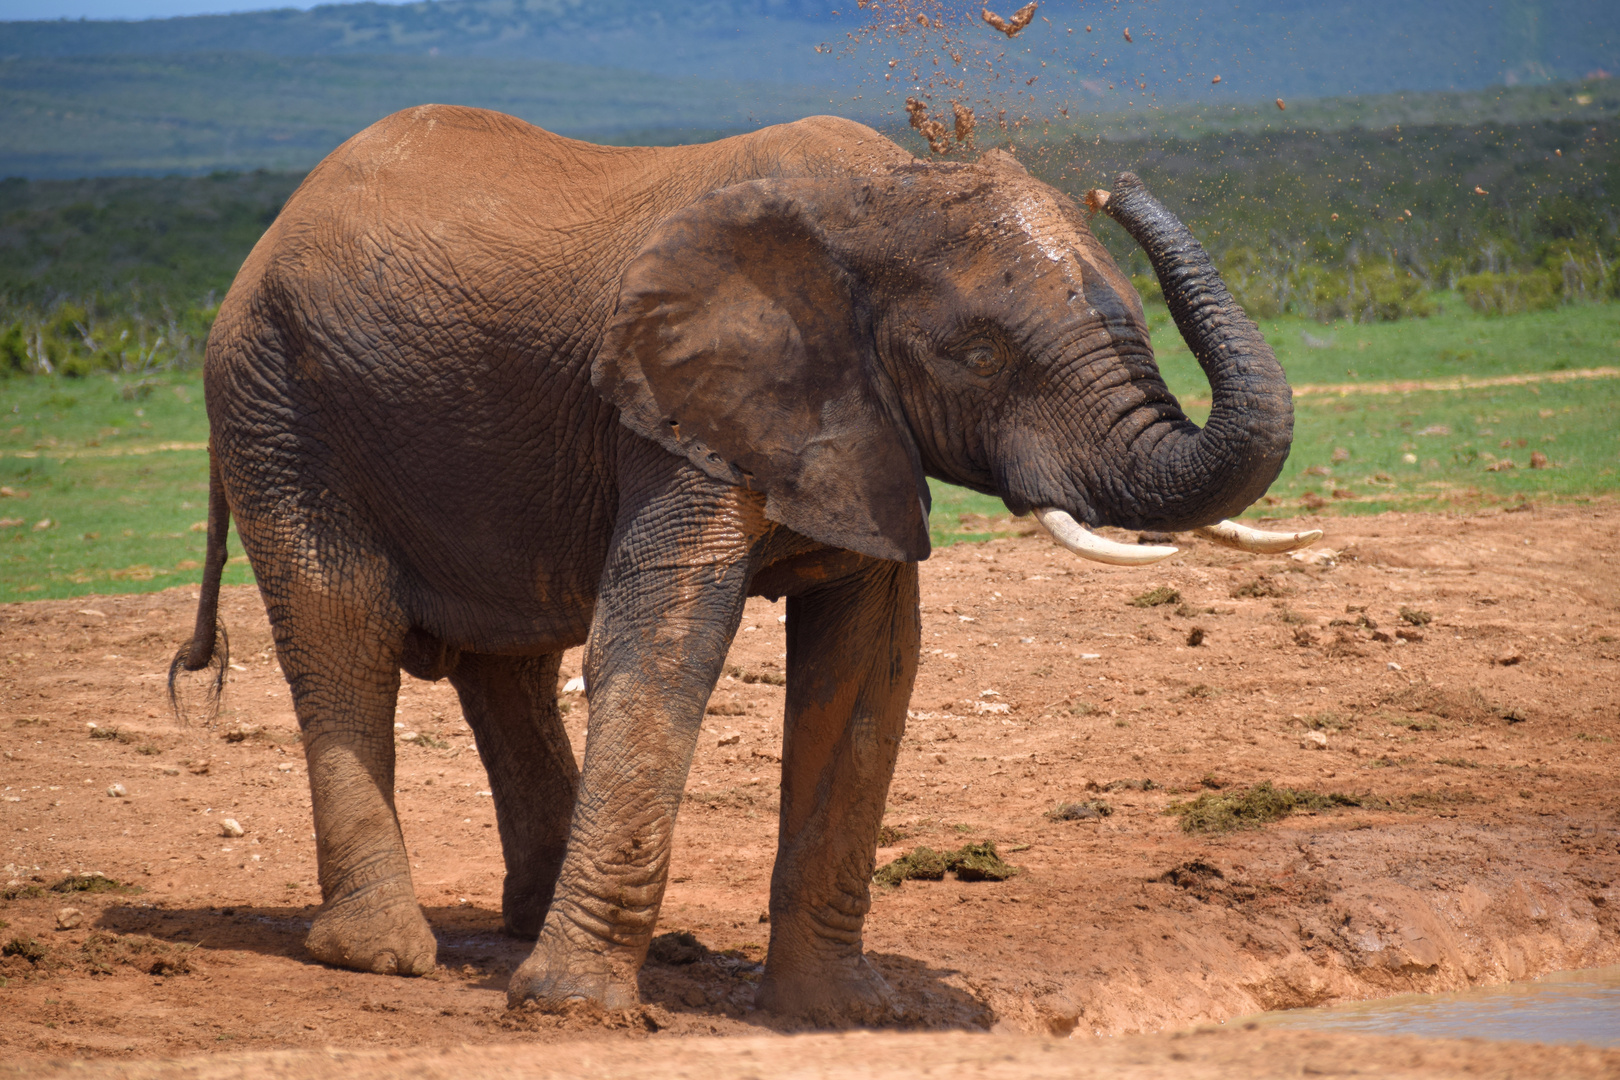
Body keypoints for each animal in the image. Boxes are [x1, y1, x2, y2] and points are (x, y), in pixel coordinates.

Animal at [174, 103, 1315, 1023]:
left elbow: (868, 666)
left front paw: (846, 1015)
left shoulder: (854, 428)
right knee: (345, 630)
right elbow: (663, 635)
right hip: (274, 405)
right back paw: (382, 957)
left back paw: (548, 929)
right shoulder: (681, 412)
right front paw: (576, 1013)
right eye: (980, 356)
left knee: (510, 664)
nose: (1109, 187)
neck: (878, 192)